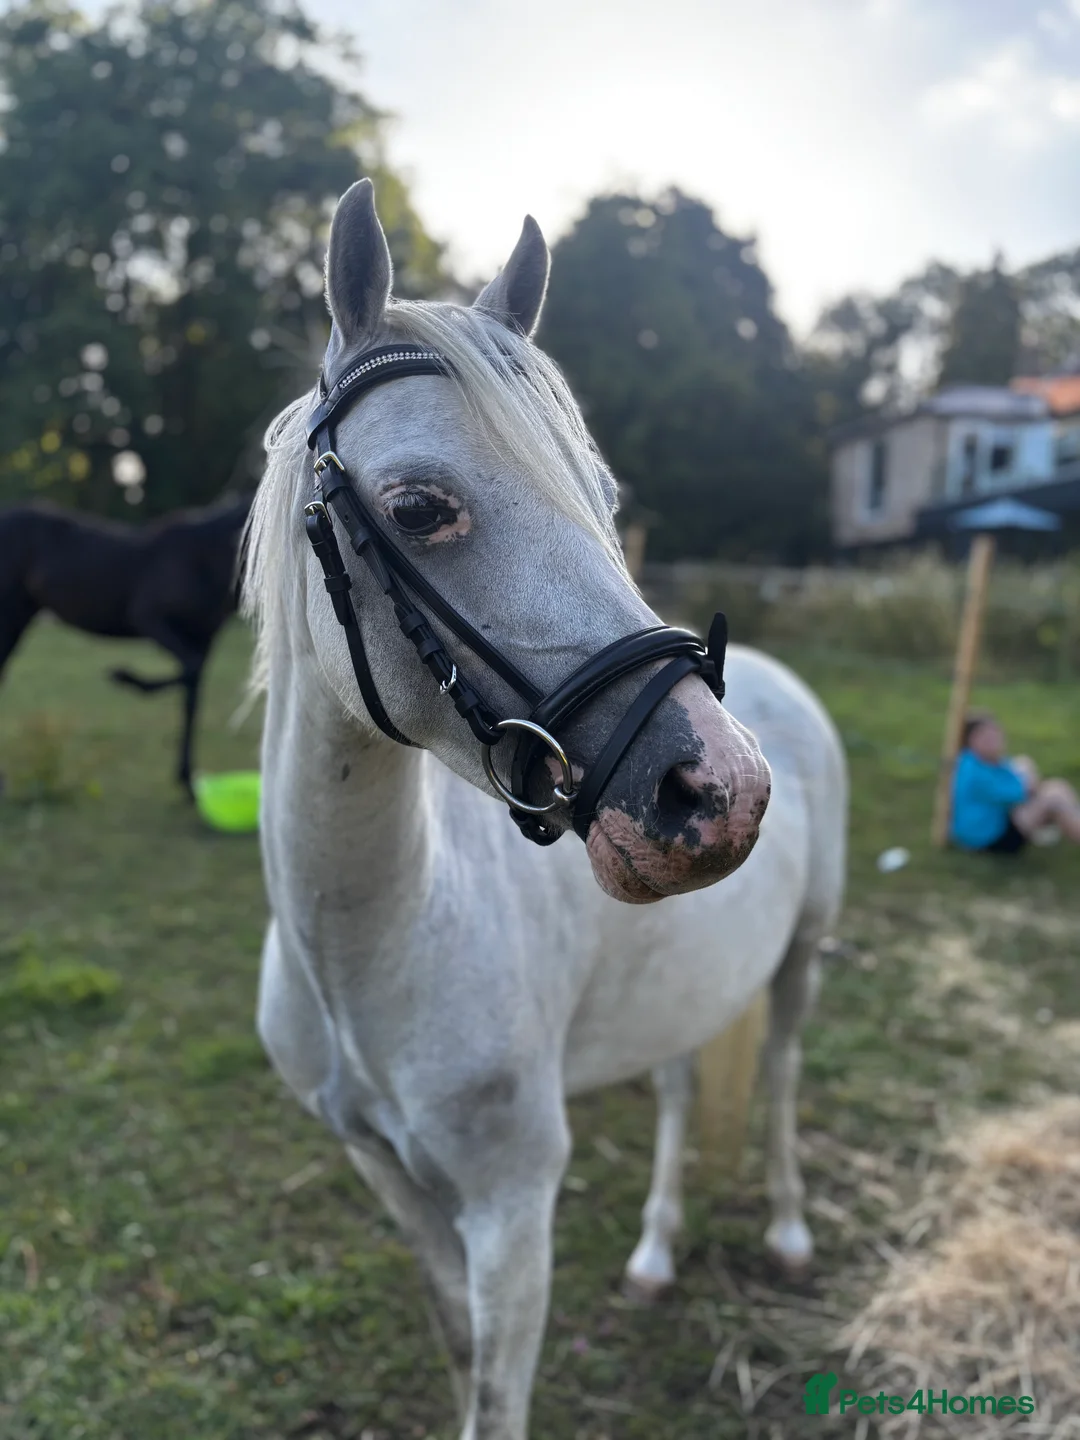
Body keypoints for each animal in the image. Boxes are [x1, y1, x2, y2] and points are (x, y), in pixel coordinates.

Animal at [0, 490, 253, 794]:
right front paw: (124, 677)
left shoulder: (204, 639)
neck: (201, 560)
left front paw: (187, 778)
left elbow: (192, 694)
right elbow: (189, 672)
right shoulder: (149, 618)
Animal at [242, 178, 847, 1440]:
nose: (722, 788)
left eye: (605, 498)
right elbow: (461, 1352)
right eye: (420, 507)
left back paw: (787, 1231)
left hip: (800, 960)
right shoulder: (393, 1182)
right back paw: (656, 1255)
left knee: (776, 1079)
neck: (375, 954)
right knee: (680, 1089)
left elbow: (498, 1391)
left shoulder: (513, 1207)